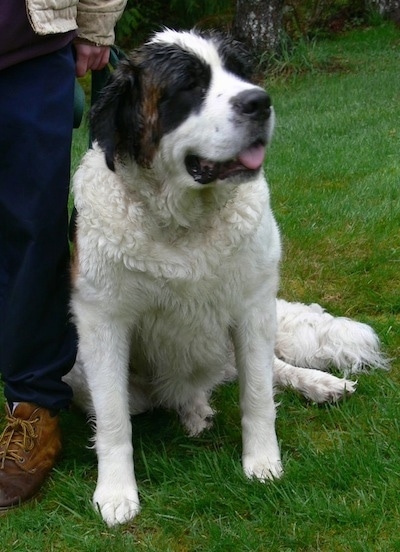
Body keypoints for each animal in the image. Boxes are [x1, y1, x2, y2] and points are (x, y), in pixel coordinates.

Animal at [66, 29, 388, 528]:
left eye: (241, 73)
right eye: (189, 87)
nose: (259, 101)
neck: (186, 223)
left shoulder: (253, 306)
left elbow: (257, 395)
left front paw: (263, 463)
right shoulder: (103, 324)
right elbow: (114, 418)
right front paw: (116, 493)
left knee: (269, 369)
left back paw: (318, 384)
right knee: (161, 395)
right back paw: (194, 409)